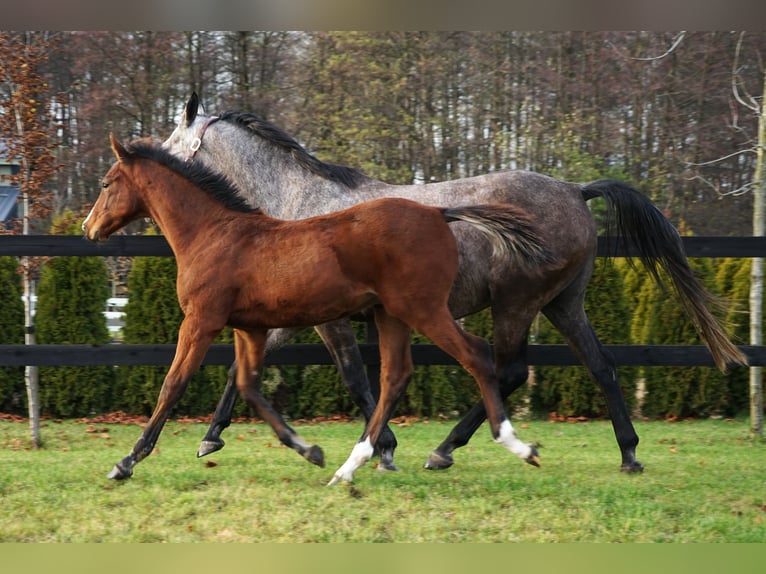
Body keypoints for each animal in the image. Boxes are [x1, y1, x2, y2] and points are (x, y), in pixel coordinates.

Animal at [83, 134, 554, 483]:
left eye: (106, 183)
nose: (89, 228)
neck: (215, 234)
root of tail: (440, 212)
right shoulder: (249, 328)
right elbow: (248, 384)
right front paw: (307, 449)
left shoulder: (201, 321)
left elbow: (173, 383)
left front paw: (127, 461)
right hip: (392, 316)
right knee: (395, 376)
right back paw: (351, 465)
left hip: (424, 310)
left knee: (477, 356)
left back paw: (511, 446)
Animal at [162, 93, 747, 475]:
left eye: (171, 140)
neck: (302, 203)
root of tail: (575, 191)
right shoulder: (303, 316)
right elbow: (241, 374)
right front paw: (210, 439)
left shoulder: (332, 322)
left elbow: (355, 378)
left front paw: (384, 449)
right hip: (563, 304)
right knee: (600, 366)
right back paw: (628, 454)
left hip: (516, 304)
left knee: (507, 370)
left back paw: (445, 449)